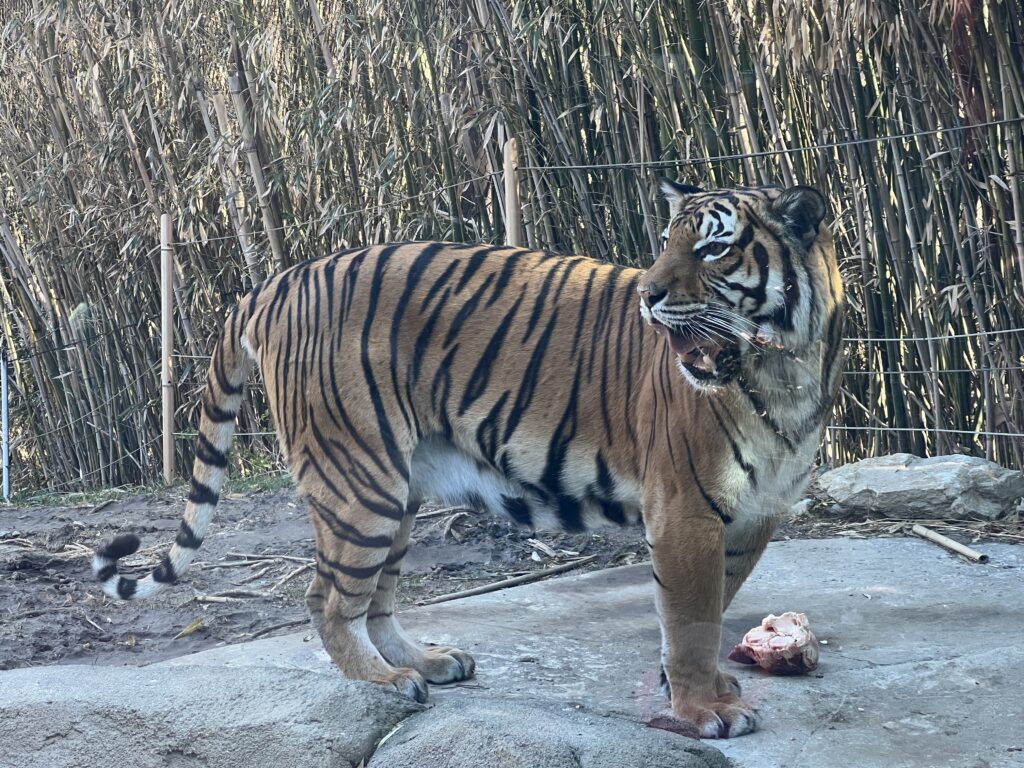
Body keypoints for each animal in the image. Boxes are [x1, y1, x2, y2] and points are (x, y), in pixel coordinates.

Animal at [94, 182, 847, 741]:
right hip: (359, 481)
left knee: (376, 599)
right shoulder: (686, 510)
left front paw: (710, 688)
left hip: (397, 489)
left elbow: (718, 606)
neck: (783, 369)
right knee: (328, 599)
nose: (648, 295)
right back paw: (384, 681)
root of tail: (273, 283)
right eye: (667, 243)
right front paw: (704, 710)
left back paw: (429, 661)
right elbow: (691, 623)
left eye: (715, 247)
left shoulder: (753, 515)